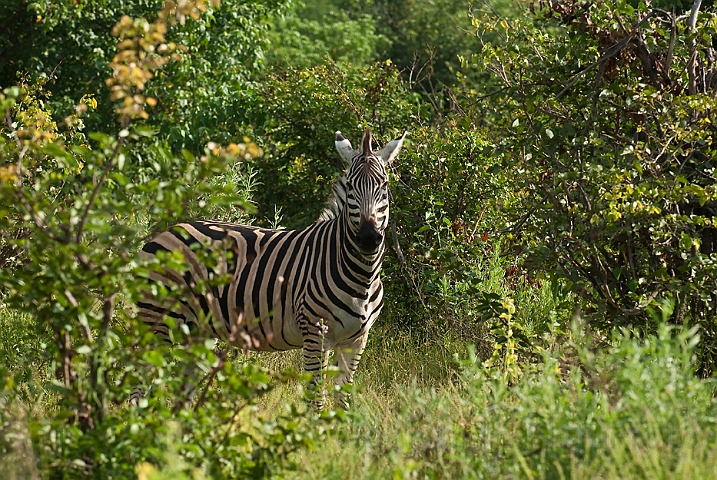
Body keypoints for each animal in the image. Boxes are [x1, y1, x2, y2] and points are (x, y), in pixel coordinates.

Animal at [131, 127, 406, 408]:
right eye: (350, 187)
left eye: (384, 186)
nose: (368, 238)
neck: (362, 275)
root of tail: (165, 231)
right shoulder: (315, 333)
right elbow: (315, 400)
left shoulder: (357, 340)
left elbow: (343, 402)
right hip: (158, 320)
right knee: (138, 380)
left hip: (197, 330)